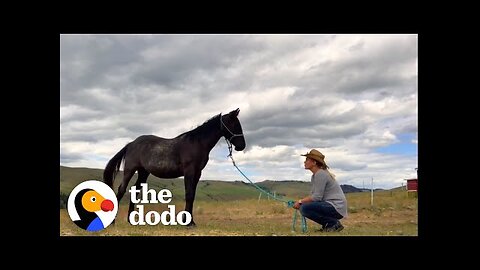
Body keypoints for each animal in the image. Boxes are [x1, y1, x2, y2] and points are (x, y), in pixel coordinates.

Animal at [103, 108, 246, 226]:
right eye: (235, 125)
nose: (242, 146)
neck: (197, 143)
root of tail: (131, 144)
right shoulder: (189, 172)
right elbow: (189, 194)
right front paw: (187, 222)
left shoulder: (197, 173)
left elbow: (193, 195)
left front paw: (191, 221)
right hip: (130, 170)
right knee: (121, 190)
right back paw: (113, 222)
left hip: (143, 172)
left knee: (136, 191)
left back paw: (130, 220)